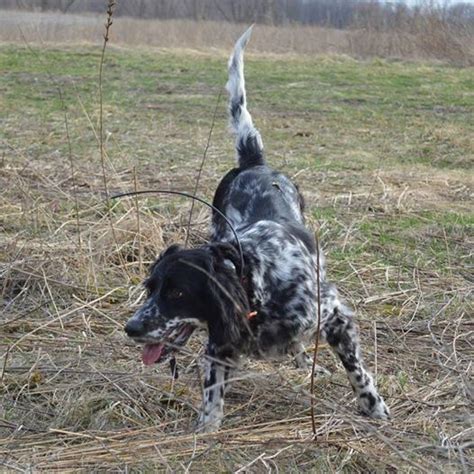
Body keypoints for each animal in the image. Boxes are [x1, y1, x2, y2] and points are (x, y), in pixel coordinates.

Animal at [125, 26, 388, 434]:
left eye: (178, 293)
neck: (255, 280)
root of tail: (253, 162)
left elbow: (357, 370)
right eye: (149, 288)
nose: (132, 327)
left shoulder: (336, 315)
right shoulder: (220, 342)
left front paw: (373, 406)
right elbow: (212, 396)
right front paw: (204, 432)